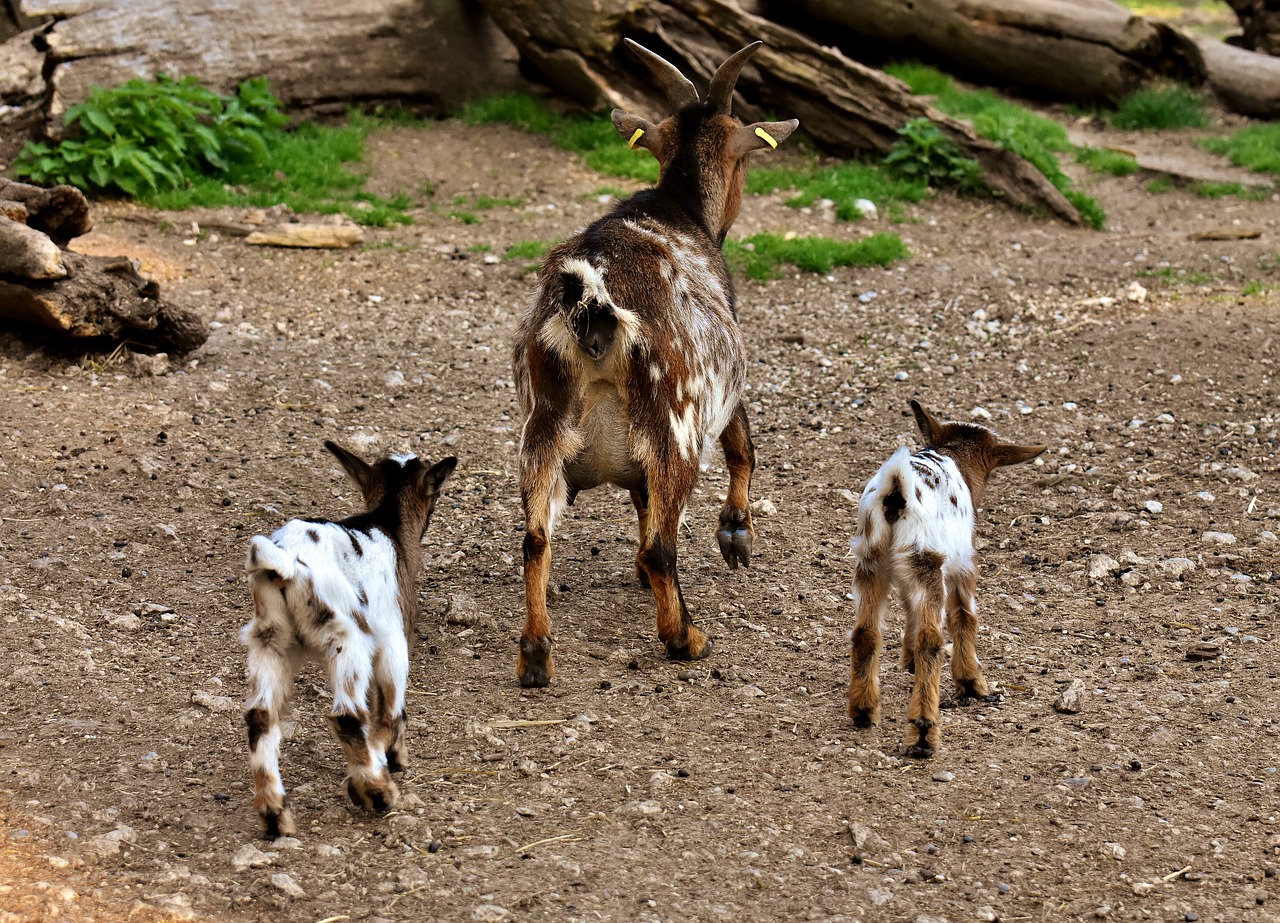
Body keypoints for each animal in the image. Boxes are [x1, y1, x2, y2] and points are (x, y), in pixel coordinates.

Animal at [241, 440, 458, 834]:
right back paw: (377, 791)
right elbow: (389, 708)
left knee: (260, 716)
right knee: (346, 715)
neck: (387, 524)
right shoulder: (393, 641)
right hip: (346, 638)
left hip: (269, 639)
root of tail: (285, 562)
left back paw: (275, 815)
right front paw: (388, 759)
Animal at [506, 39, 788, 686]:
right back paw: (686, 637)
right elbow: (743, 445)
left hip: (544, 425)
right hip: (674, 423)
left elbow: (638, 500)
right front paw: (736, 534)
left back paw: (536, 655)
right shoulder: (721, 383)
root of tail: (591, 300)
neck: (677, 205)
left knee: (536, 540)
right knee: (666, 543)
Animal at [844, 396, 1044, 757]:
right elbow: (965, 615)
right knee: (932, 639)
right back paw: (923, 731)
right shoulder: (963, 561)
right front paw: (972, 683)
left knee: (865, 631)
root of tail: (895, 492)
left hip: (871, 560)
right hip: (928, 560)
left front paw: (908, 660)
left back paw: (864, 710)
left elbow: (908, 607)